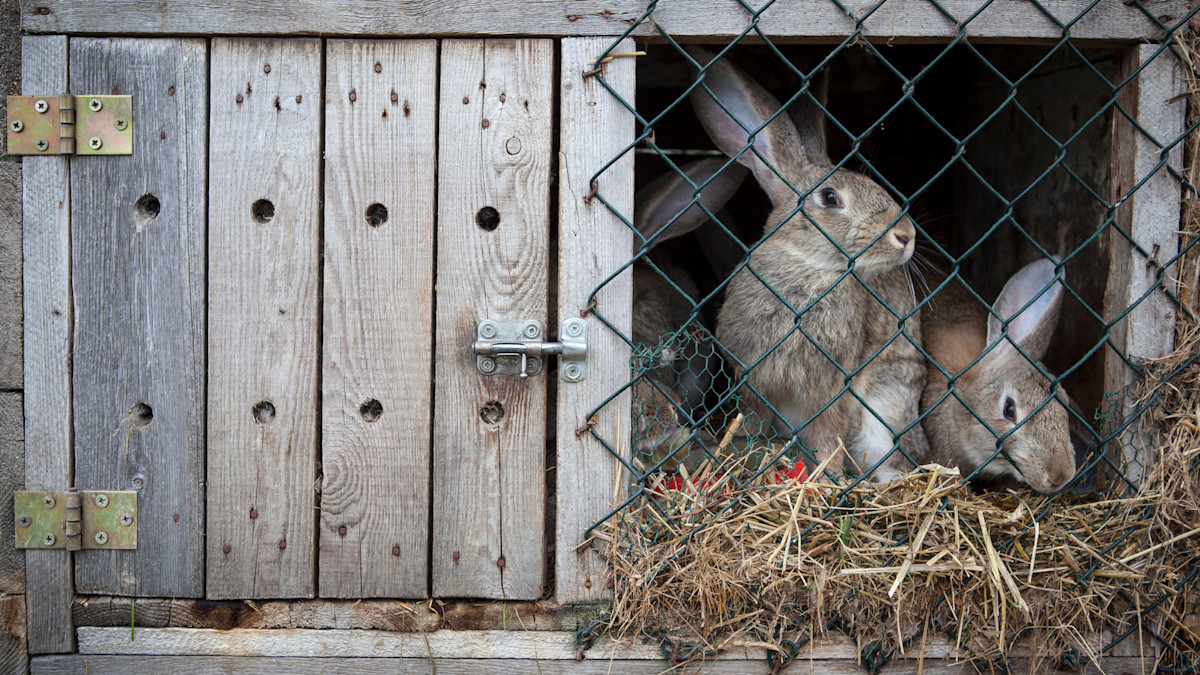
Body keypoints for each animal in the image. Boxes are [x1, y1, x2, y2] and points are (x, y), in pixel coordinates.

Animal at [687, 48, 930, 478]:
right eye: (830, 198)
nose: (906, 236)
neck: (809, 267)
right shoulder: (754, 380)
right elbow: (754, 419)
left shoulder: (834, 386)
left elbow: (829, 431)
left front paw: (826, 475)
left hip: (887, 409)